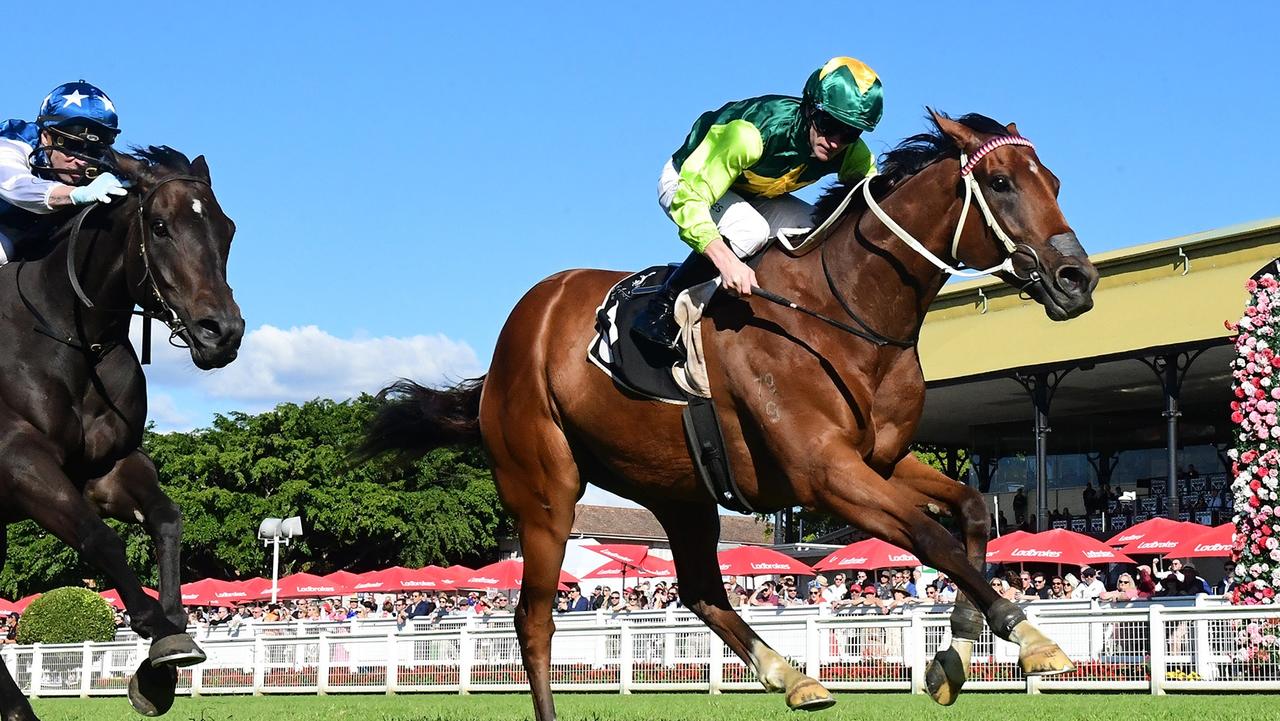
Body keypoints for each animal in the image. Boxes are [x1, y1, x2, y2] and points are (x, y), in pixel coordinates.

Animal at [0, 144, 243, 717]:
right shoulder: (18, 460)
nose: (222, 333)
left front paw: (168, 643)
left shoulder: (107, 466)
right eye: (159, 226)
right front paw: (152, 621)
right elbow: (100, 538)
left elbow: (166, 518)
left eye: (227, 229)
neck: (68, 336)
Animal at [363, 112, 1100, 717]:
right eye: (1001, 182)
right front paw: (1029, 635)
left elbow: (971, 511)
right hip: (546, 490)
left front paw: (958, 651)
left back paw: (792, 675)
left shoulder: (881, 459)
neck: (844, 313)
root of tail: (511, 341)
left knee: (698, 590)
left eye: (1055, 180)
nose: (1078, 280)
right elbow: (932, 536)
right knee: (534, 617)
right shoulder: (824, 473)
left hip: (680, 491)